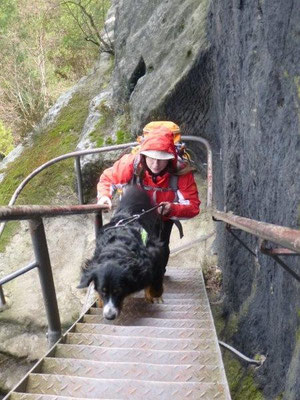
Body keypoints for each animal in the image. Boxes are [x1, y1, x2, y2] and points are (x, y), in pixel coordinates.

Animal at [78, 186, 164, 320]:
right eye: (103, 291)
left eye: (118, 291)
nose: (109, 316)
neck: (117, 249)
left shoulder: (155, 253)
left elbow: (155, 281)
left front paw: (155, 296)